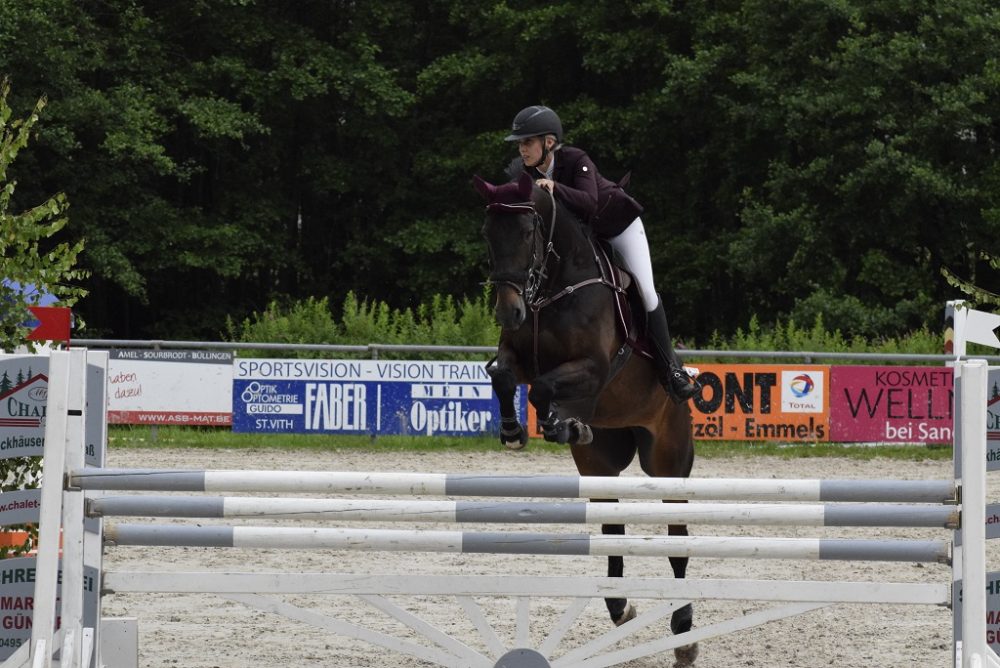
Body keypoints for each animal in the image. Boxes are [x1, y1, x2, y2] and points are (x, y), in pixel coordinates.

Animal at [472, 171, 700, 664]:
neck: (551, 287)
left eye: (527, 232)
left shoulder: (593, 367)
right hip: (600, 463)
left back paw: (684, 633)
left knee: (678, 540)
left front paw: (559, 422)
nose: (508, 311)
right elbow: (504, 375)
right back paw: (619, 606)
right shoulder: (520, 356)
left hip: (669, 459)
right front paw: (518, 429)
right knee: (611, 525)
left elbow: (543, 388)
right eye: (487, 234)